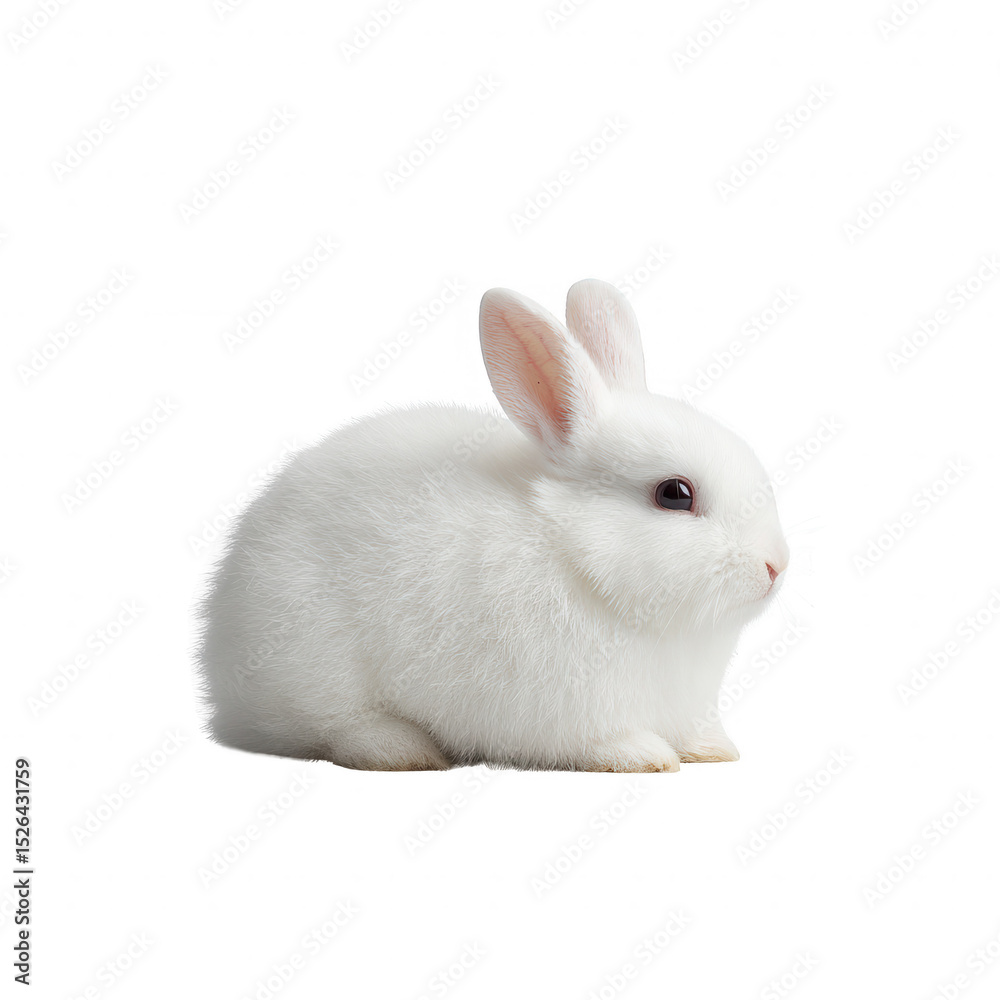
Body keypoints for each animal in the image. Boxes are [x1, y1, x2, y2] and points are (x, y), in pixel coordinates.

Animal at [196, 279, 789, 772]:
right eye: (674, 494)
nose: (775, 566)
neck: (578, 559)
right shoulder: (563, 710)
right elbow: (601, 741)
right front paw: (645, 756)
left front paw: (714, 750)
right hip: (315, 671)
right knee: (333, 727)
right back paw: (403, 750)